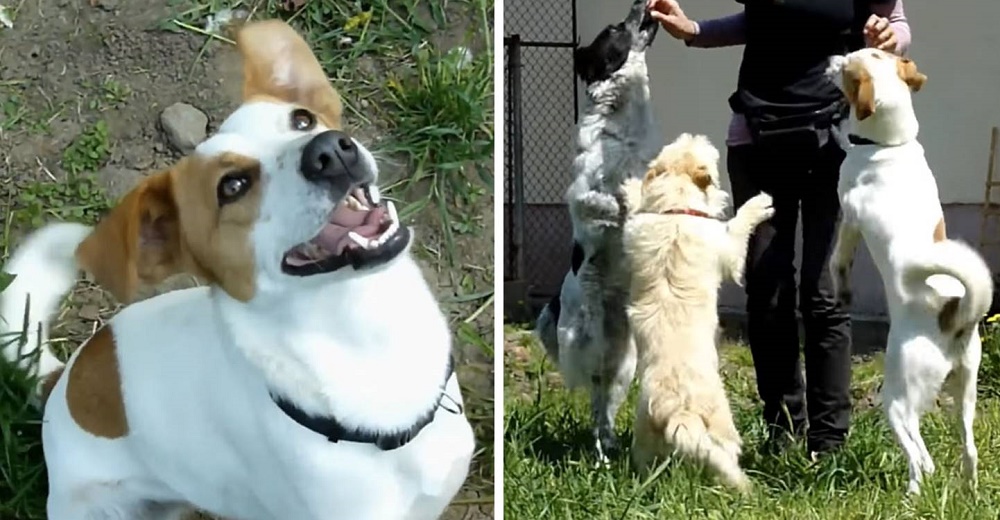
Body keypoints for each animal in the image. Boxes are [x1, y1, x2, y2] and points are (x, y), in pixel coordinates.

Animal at [532, 0, 664, 464]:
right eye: (613, 29)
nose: (641, 4)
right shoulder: (583, 195)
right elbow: (608, 203)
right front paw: (625, 208)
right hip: (585, 340)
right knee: (593, 402)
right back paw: (601, 455)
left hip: (623, 365)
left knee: (604, 408)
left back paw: (609, 449)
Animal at [620, 134, 776, 492]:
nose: (694, 135)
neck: (674, 210)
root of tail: (679, 414)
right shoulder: (729, 252)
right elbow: (737, 226)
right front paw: (760, 205)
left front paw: (630, 187)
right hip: (724, 431)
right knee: (724, 457)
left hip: (644, 442)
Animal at [828, 48, 992, 496]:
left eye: (845, 67)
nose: (829, 57)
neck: (890, 145)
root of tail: (953, 311)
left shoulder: (849, 217)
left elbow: (837, 258)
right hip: (965, 389)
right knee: (967, 447)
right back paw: (968, 488)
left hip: (898, 396)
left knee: (920, 455)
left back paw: (914, 492)